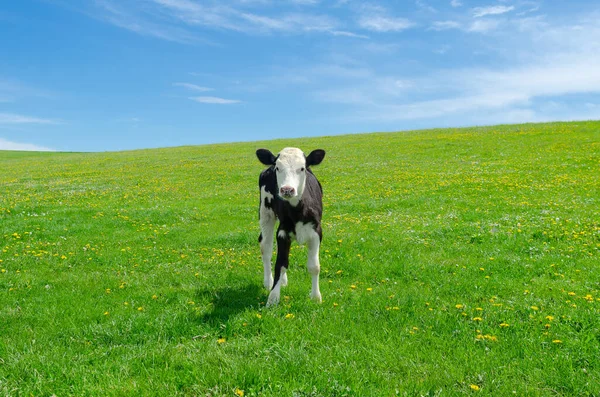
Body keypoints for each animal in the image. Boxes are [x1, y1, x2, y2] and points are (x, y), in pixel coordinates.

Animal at [255, 147, 326, 304]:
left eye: (302, 168)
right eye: (278, 168)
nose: (287, 189)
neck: (297, 210)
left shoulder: (316, 231)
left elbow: (314, 266)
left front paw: (316, 297)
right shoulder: (282, 232)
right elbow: (280, 264)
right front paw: (273, 298)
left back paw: (283, 281)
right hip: (265, 212)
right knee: (266, 247)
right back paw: (268, 282)